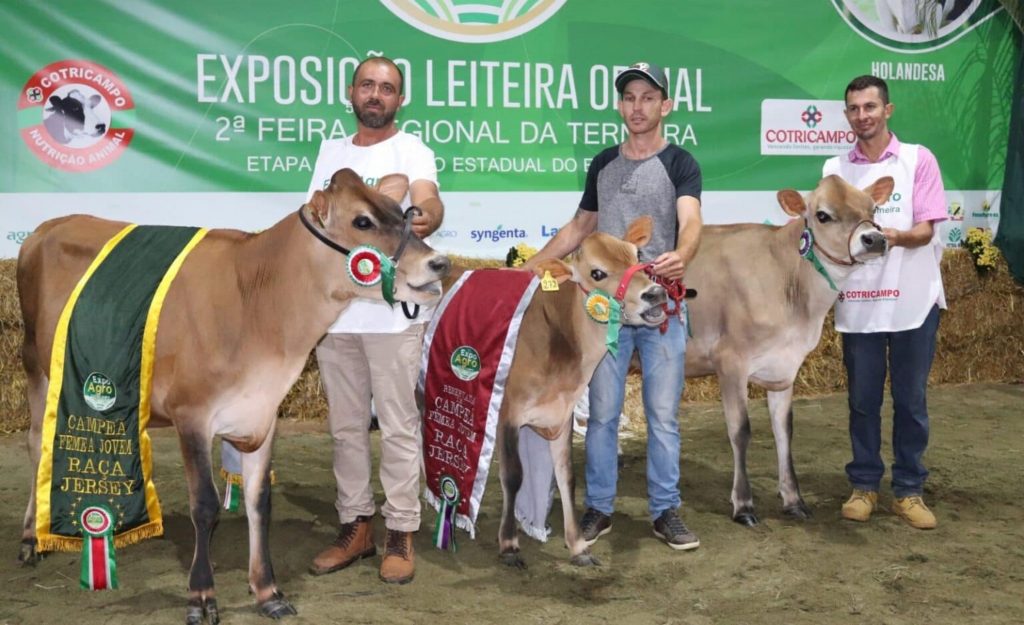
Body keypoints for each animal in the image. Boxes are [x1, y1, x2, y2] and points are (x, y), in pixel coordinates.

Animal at [16, 168, 448, 618]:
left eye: (402, 211)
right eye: (363, 221)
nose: (440, 263)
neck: (257, 302)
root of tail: (48, 227)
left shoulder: (262, 413)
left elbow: (260, 502)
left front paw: (268, 591)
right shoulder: (191, 413)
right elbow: (205, 505)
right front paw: (202, 596)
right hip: (35, 362)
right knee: (37, 443)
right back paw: (31, 539)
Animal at [483, 216, 667, 565]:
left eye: (637, 255)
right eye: (597, 273)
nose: (656, 293)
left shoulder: (561, 414)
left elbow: (566, 476)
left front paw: (578, 545)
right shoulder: (508, 413)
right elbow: (513, 476)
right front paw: (509, 544)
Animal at [684, 173, 892, 522]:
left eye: (873, 208)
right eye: (822, 215)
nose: (874, 239)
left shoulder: (784, 367)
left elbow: (784, 430)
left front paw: (794, 500)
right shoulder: (730, 362)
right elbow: (740, 431)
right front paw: (743, 504)